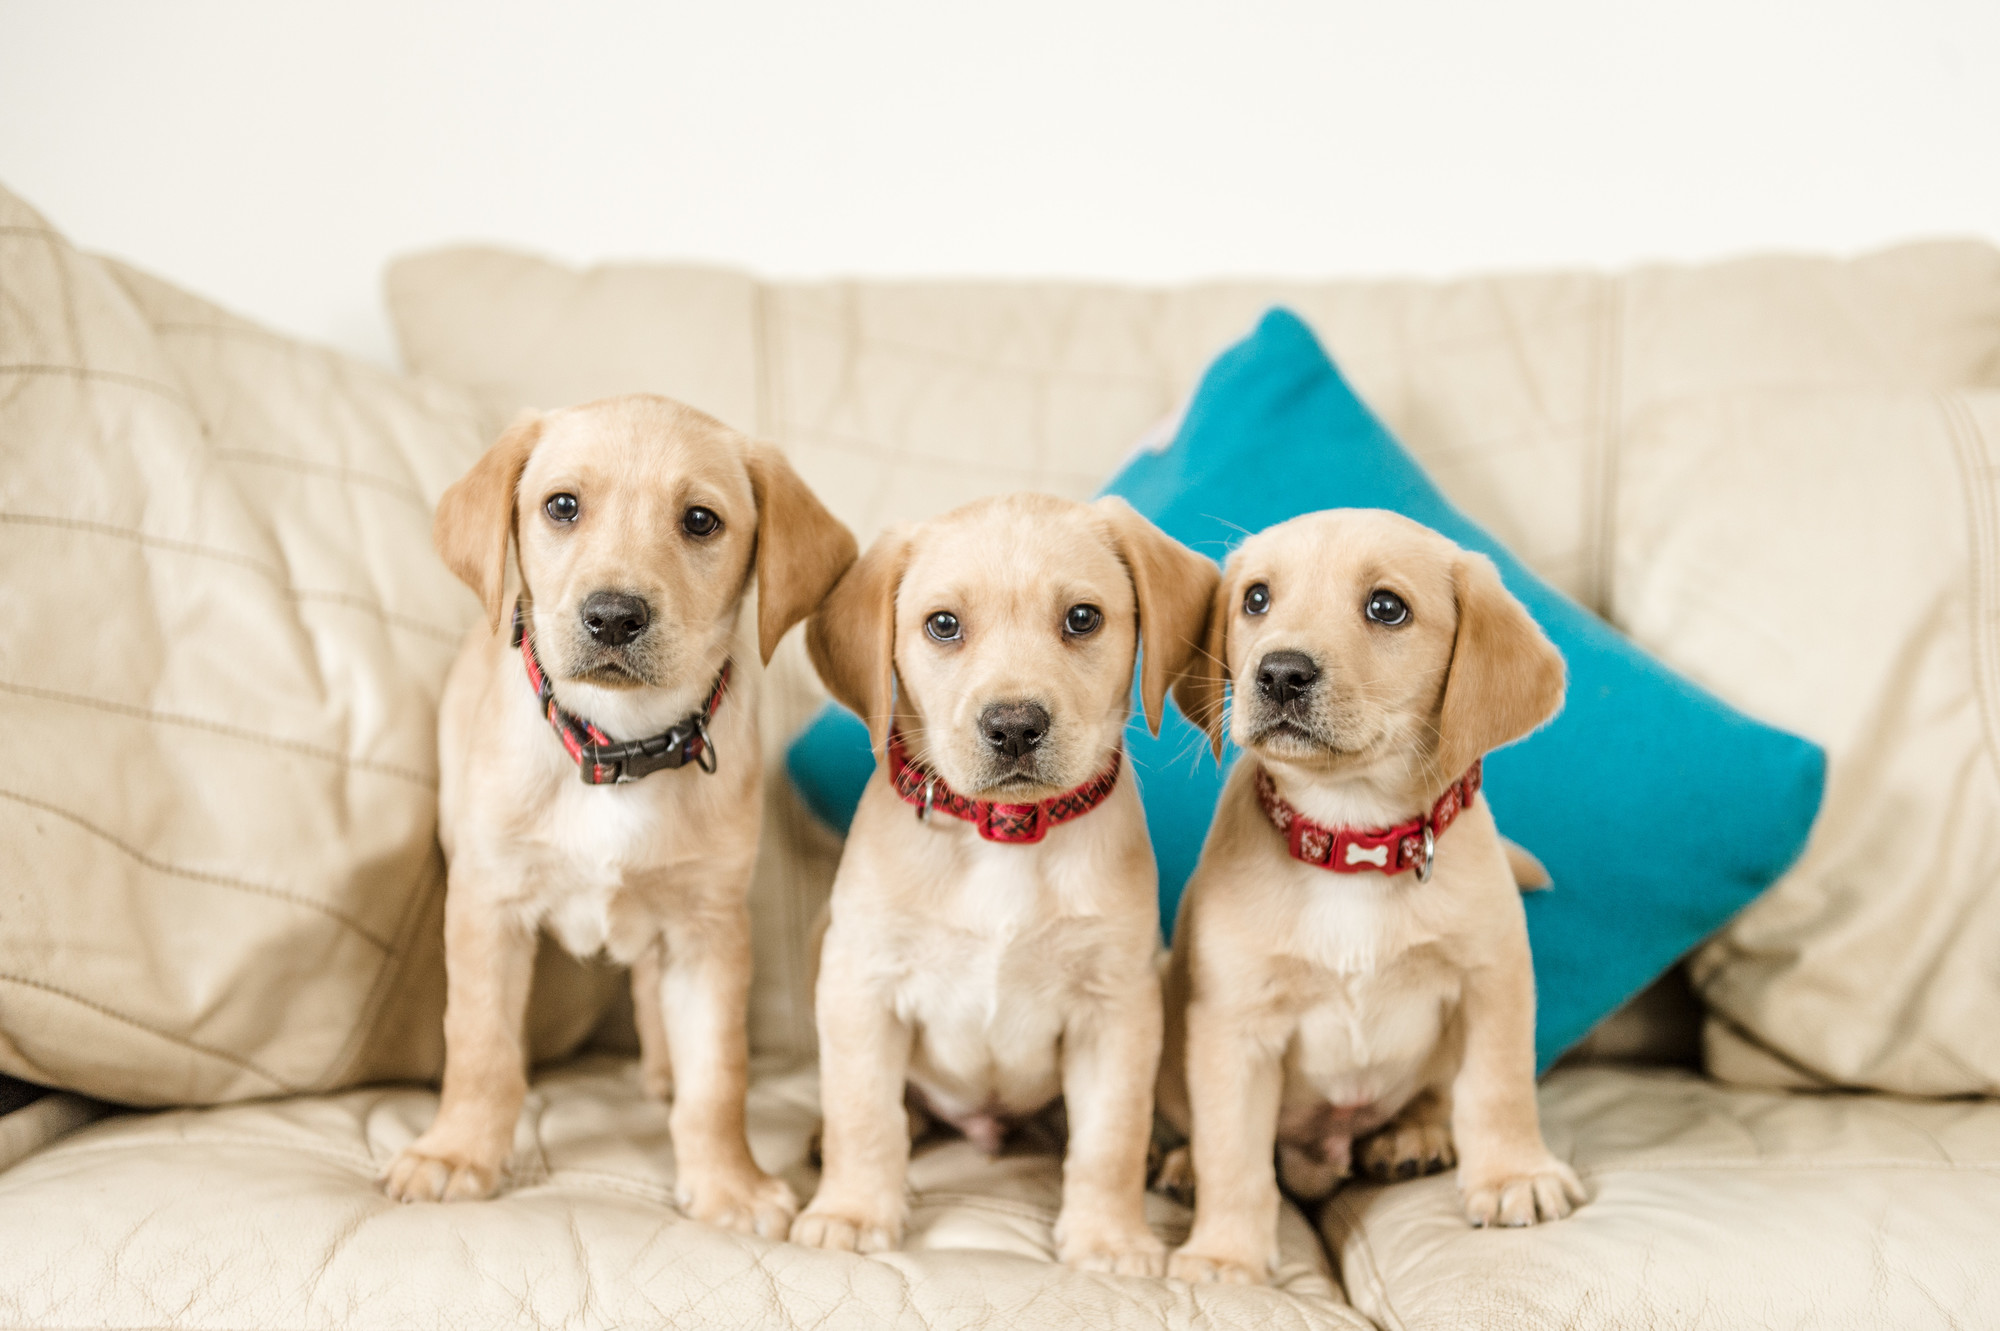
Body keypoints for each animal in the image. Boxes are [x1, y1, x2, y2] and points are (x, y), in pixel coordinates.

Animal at [380, 391, 852, 1231]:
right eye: (562, 506)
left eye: (700, 520)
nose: (612, 616)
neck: (620, 747)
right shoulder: (488, 903)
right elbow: (481, 1045)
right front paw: (457, 1152)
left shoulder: (708, 926)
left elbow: (717, 1076)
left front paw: (728, 1182)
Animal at [788, 491, 1208, 1271]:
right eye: (943, 625)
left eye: (1083, 618)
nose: (1014, 726)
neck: (1005, 837)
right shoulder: (863, 984)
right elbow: (865, 1112)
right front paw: (852, 1210)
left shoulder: (1117, 1007)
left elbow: (1111, 1135)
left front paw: (1108, 1235)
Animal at [1168, 505, 1584, 1279]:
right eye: (1256, 599)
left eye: (1387, 608)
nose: (1280, 671)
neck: (1352, 838)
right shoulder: (1235, 1023)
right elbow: (1233, 1152)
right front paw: (1225, 1251)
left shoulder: (1493, 979)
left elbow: (1499, 1087)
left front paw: (1512, 1174)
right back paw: (1179, 1163)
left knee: (1435, 1096)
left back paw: (1413, 1137)